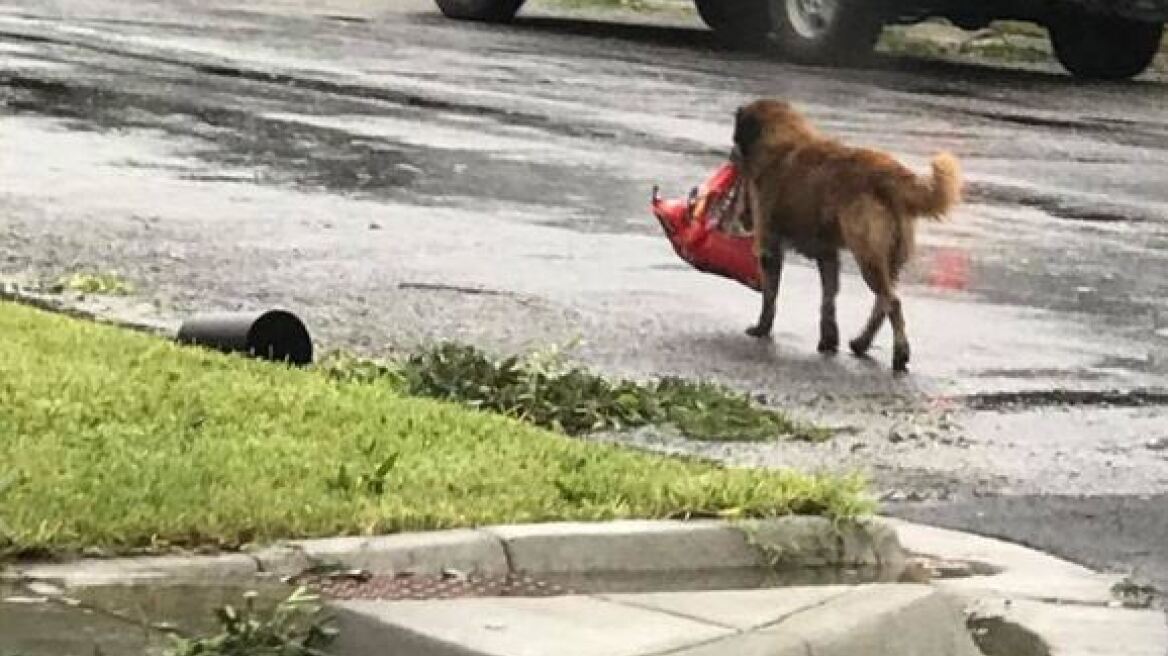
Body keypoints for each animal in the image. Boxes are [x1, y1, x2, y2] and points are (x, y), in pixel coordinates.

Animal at [733, 99, 962, 371]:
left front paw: (762, 329)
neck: (783, 140)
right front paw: (828, 340)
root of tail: (888, 173)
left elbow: (770, 295)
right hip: (889, 260)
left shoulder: (770, 246)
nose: (742, 216)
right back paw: (861, 343)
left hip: (868, 256)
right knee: (882, 303)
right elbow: (828, 299)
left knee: (892, 302)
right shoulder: (827, 254)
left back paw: (900, 354)